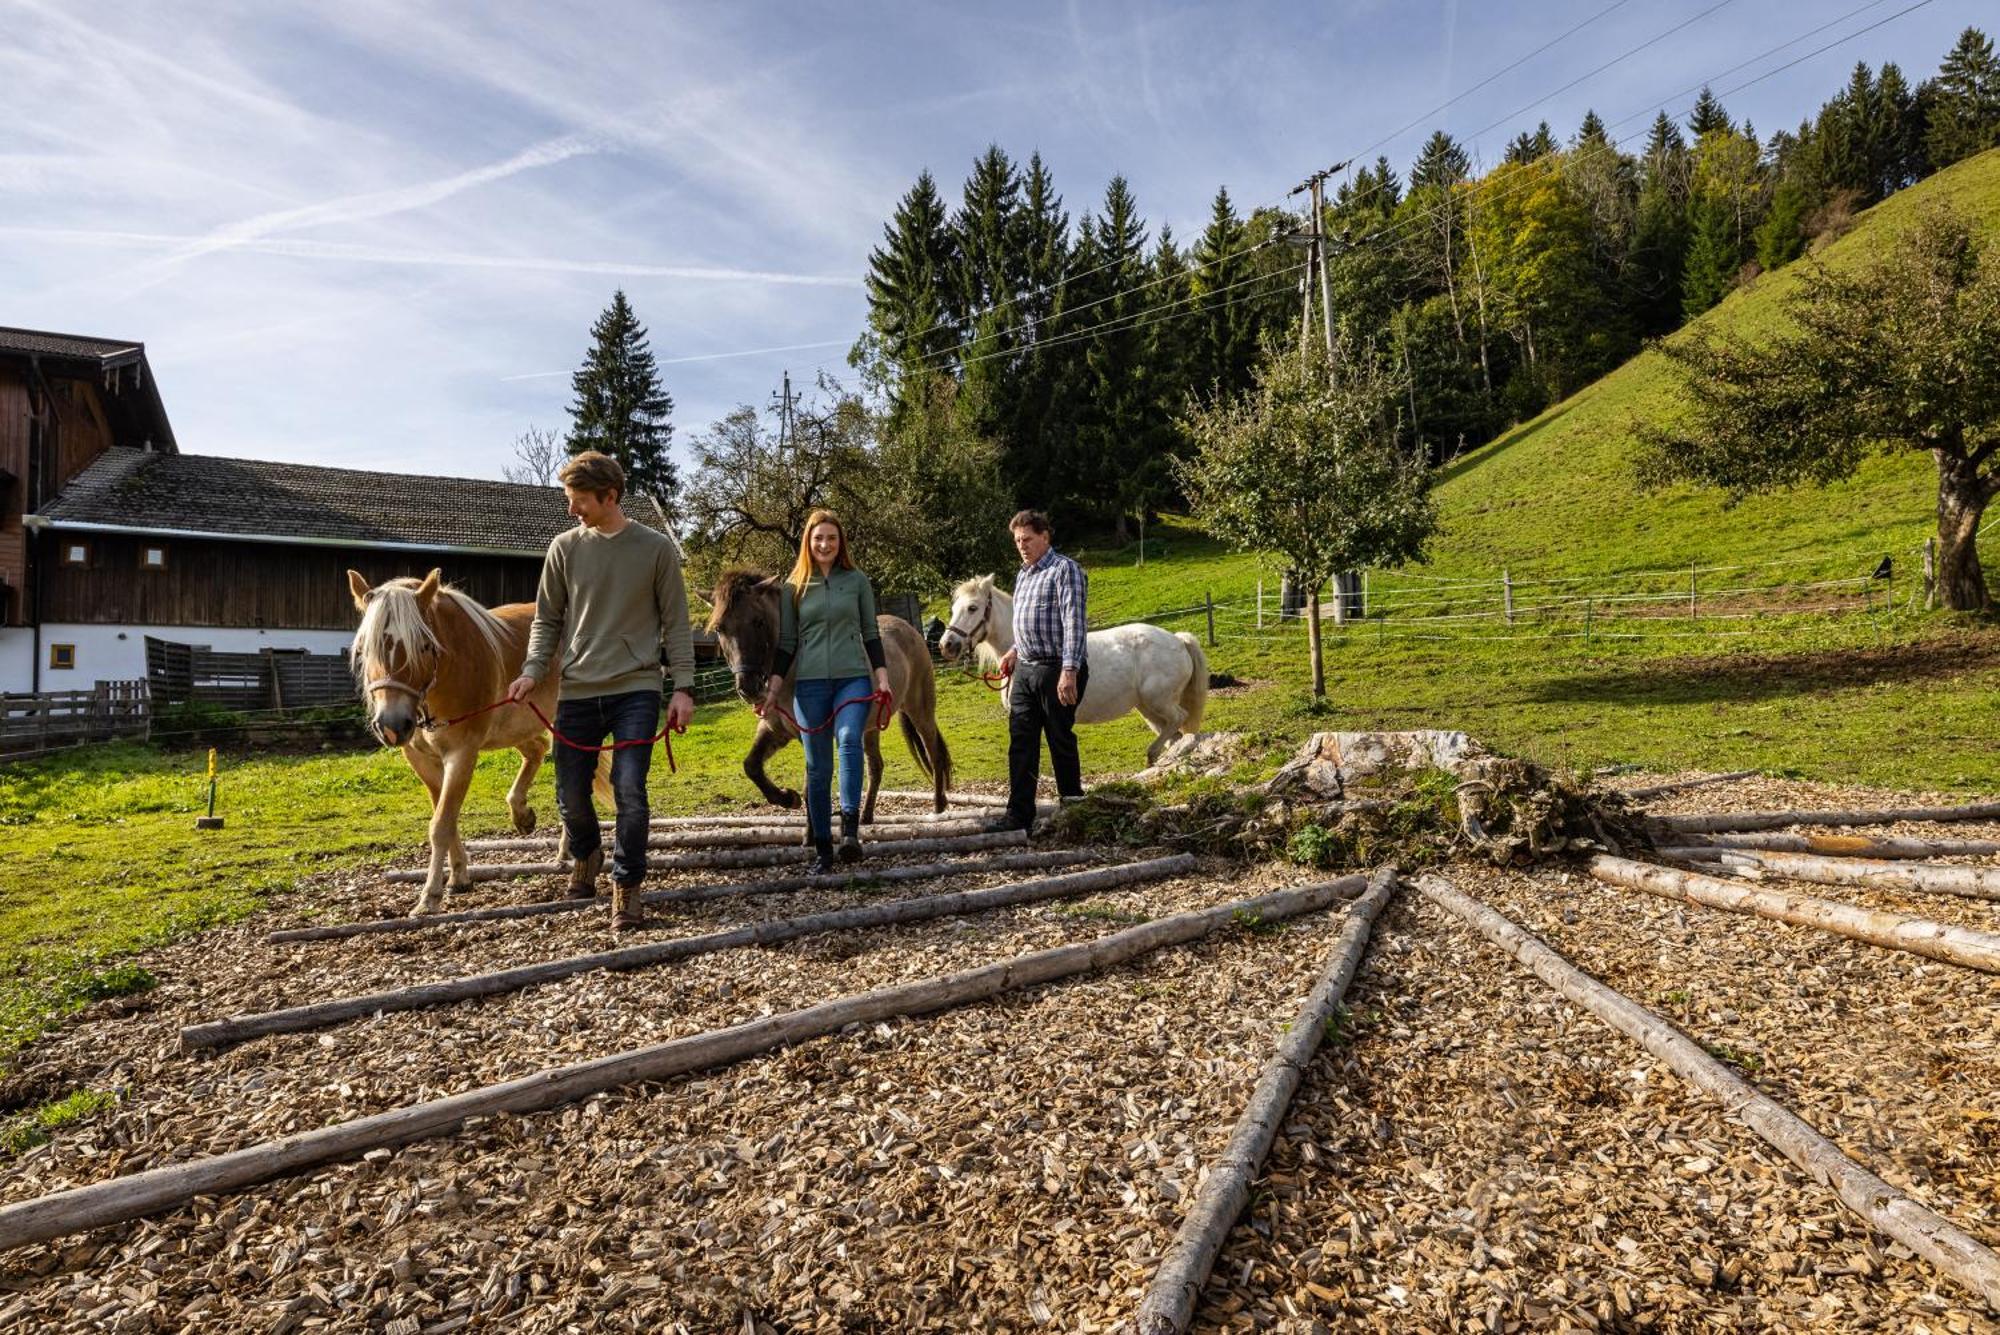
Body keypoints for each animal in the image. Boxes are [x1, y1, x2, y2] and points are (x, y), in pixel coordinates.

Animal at [350, 567, 600, 911]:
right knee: (536, 751)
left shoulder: (462, 754)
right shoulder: (421, 759)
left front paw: (430, 896)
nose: (391, 725)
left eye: (424, 646)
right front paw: (459, 877)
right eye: (364, 649)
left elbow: (441, 824)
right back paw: (523, 816)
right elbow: (446, 816)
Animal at [704, 567, 952, 819]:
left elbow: (810, 790)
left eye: (758, 621)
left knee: (934, 754)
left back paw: (938, 807)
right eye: (719, 628)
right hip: (871, 725)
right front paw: (788, 798)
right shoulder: (774, 729)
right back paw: (865, 817)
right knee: (876, 766)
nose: (748, 687)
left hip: (919, 709)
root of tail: (908, 628)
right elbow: (751, 767)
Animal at [932, 571, 1200, 767]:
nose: (947, 645)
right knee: (1173, 734)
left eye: (973, 608)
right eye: (953, 610)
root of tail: (1178, 640)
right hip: (1148, 710)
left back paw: (1152, 754)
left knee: (1179, 719)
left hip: (1158, 702)